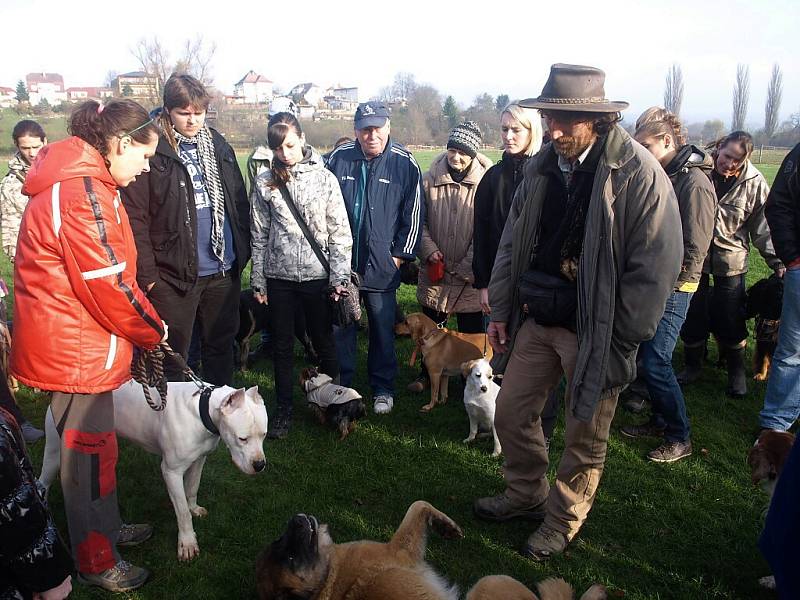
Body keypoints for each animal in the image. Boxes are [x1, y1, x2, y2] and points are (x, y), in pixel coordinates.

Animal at [40, 382, 268, 560]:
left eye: (264, 435)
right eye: (242, 438)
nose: (260, 465)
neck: (201, 411)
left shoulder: (199, 460)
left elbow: (192, 488)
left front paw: (194, 507)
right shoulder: (171, 471)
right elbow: (182, 513)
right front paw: (187, 543)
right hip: (54, 452)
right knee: (43, 483)